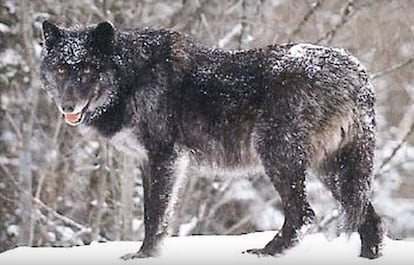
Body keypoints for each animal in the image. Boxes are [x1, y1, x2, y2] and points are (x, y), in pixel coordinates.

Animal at [40, 20, 384, 258]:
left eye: (87, 69)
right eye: (61, 69)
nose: (67, 106)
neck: (132, 76)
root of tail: (357, 72)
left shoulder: (164, 157)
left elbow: (154, 215)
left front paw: (144, 255)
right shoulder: (148, 161)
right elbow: (156, 214)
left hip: (277, 155)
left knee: (304, 214)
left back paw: (266, 252)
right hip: (332, 169)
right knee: (370, 218)